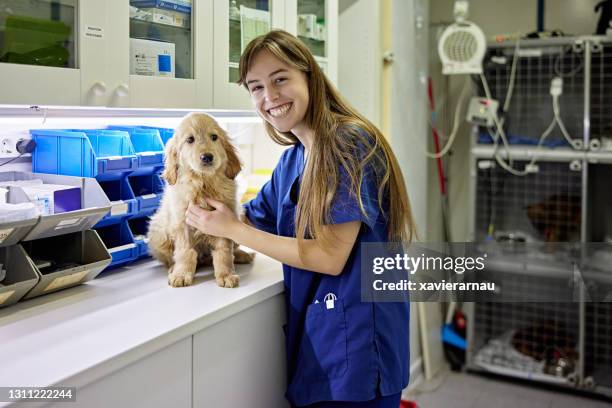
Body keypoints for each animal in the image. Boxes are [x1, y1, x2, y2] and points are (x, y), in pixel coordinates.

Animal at [147, 113, 255, 288]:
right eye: (190, 139)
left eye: (214, 137)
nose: (207, 157)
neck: (203, 183)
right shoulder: (182, 223)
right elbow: (185, 252)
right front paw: (181, 274)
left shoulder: (225, 220)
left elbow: (224, 252)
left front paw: (226, 275)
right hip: (158, 233)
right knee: (171, 258)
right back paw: (173, 268)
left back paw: (242, 255)